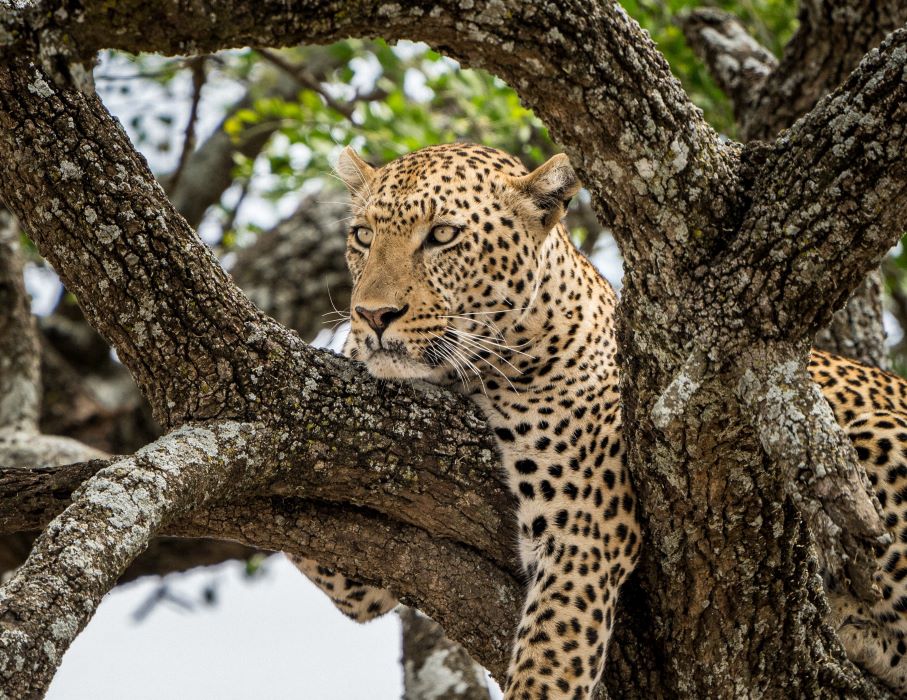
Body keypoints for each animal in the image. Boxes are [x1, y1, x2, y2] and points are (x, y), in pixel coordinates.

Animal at [290, 144, 907, 700]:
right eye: (362, 237)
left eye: (443, 235)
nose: (372, 315)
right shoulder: (361, 585)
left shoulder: (584, 528)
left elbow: (548, 667)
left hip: (872, 438)